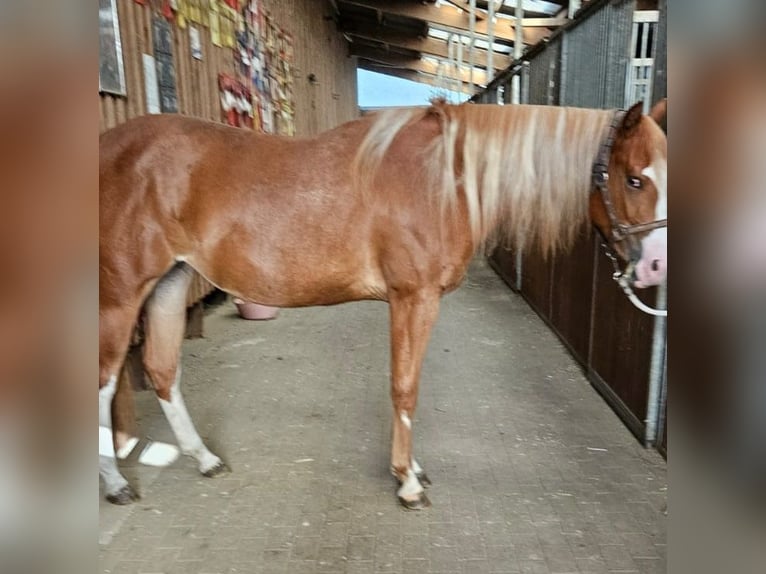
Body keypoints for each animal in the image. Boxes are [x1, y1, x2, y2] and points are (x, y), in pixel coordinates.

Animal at [99, 99, 668, 508]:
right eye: (634, 178)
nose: (656, 267)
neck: (444, 180)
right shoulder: (413, 298)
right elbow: (404, 388)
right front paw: (407, 482)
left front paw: (410, 471)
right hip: (120, 294)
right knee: (105, 381)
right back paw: (115, 483)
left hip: (171, 281)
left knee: (162, 370)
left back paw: (203, 458)